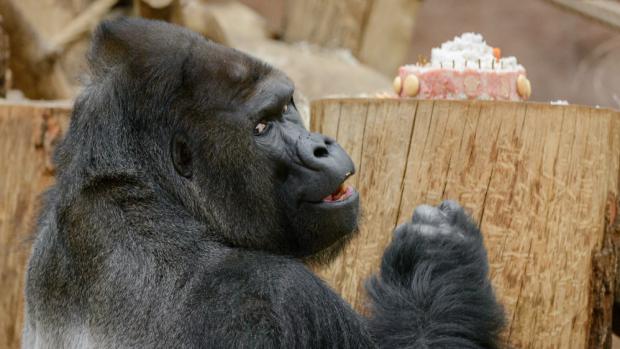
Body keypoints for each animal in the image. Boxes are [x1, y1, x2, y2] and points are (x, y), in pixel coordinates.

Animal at [21, 18, 506, 348]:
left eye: (287, 106)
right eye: (261, 127)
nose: (321, 146)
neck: (147, 187)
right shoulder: (270, 296)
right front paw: (435, 260)